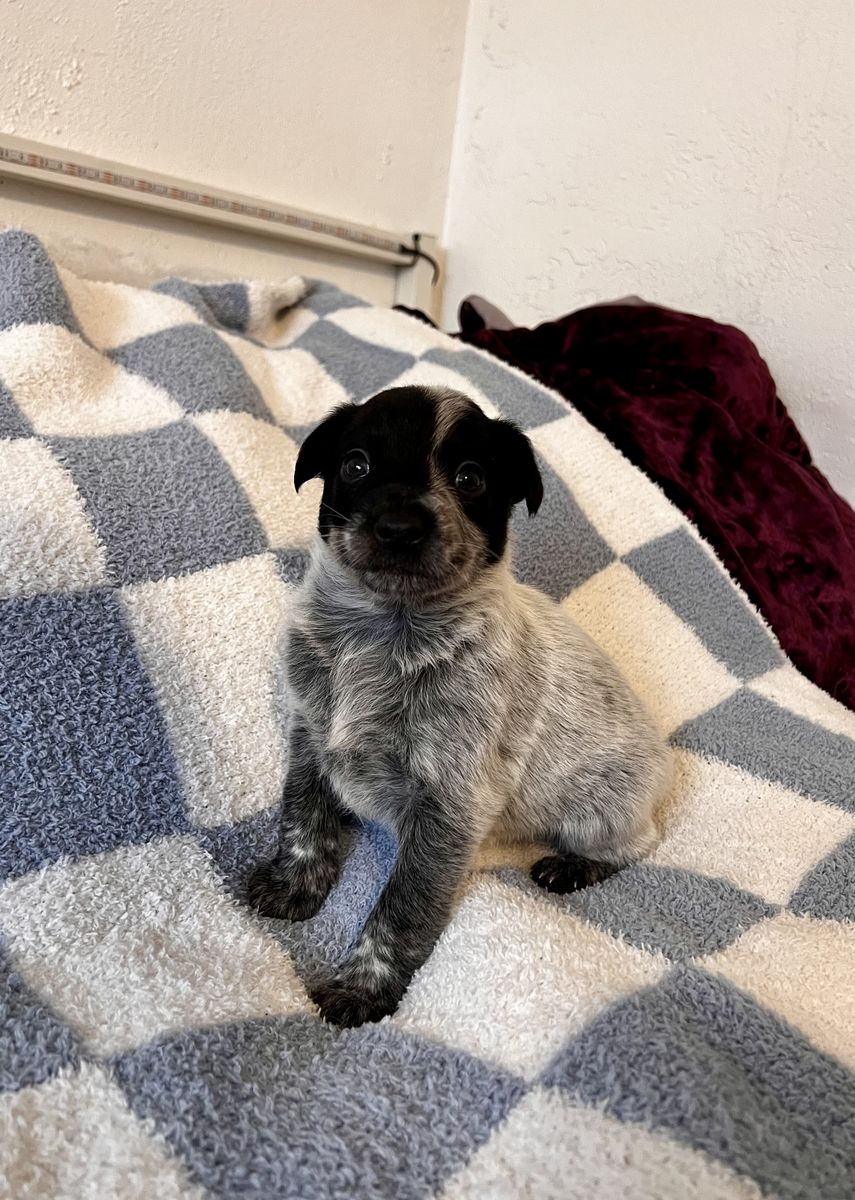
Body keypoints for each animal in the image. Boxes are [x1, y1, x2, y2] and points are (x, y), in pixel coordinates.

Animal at [249, 385, 671, 1027]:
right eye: (356, 466)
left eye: (470, 478)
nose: (399, 528)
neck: (384, 632)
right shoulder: (311, 736)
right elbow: (304, 815)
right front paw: (295, 884)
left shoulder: (449, 808)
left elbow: (401, 909)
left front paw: (363, 989)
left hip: (602, 810)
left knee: (638, 844)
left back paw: (573, 866)